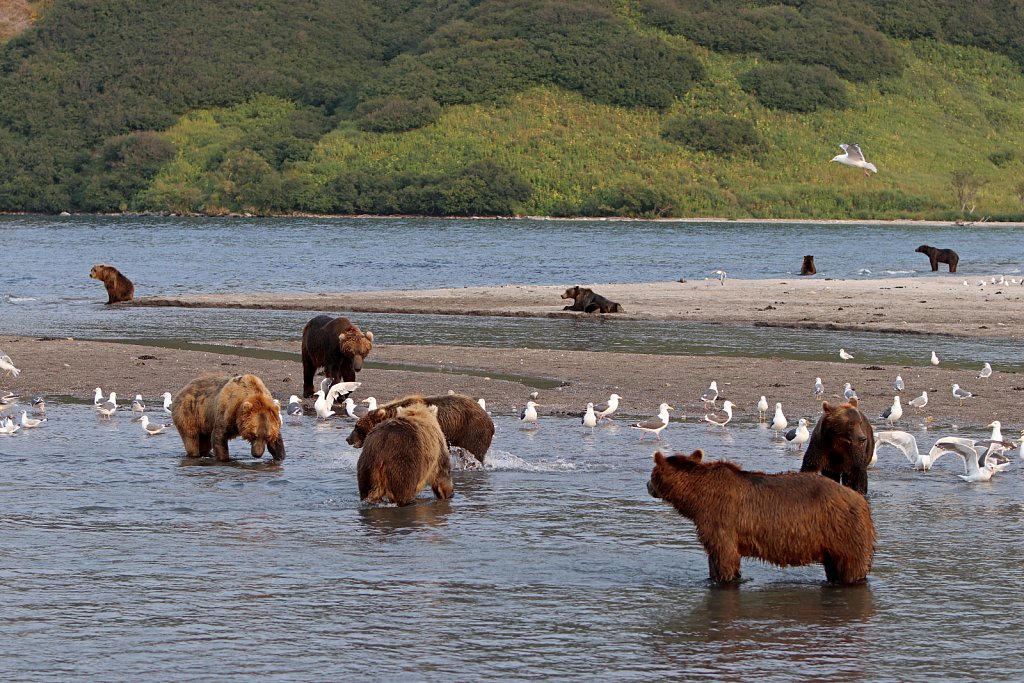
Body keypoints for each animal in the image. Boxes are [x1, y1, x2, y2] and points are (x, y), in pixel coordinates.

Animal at [647, 450, 872, 585]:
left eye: (651, 474)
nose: (648, 485)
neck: (697, 498)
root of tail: (861, 501)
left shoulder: (721, 517)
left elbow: (725, 556)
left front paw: (726, 579)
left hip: (843, 530)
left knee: (852, 567)